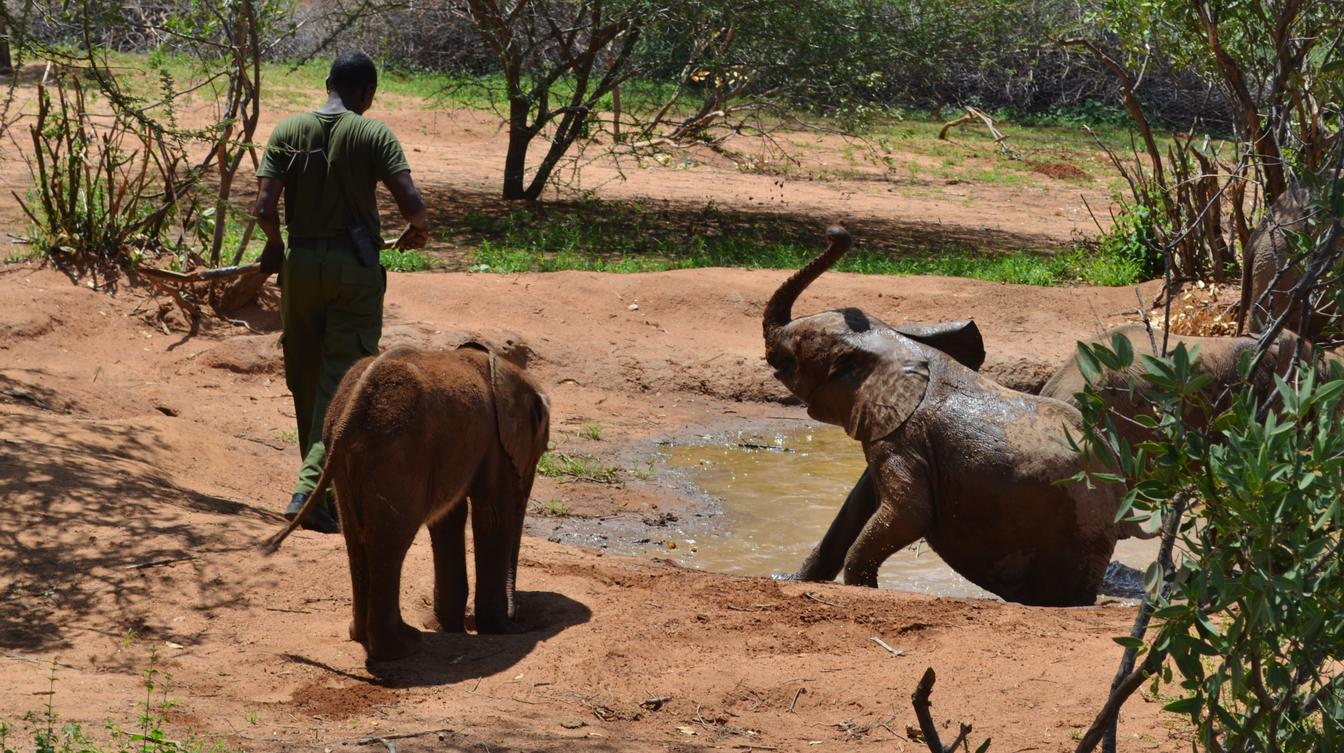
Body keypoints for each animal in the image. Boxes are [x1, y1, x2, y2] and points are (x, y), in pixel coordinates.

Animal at [263, 343, 551, 661]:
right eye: (540, 452)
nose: (517, 616)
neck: (502, 366)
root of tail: (353, 409)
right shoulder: (495, 445)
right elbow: (493, 517)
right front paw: (503, 631)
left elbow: (449, 518)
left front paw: (453, 627)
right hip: (398, 448)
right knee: (389, 543)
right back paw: (403, 646)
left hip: (345, 454)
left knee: (356, 539)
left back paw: (362, 635)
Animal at [764, 226, 1126, 606]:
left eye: (796, 347)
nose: (837, 233)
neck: (895, 345)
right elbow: (860, 504)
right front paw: (790, 578)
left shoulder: (903, 440)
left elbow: (909, 513)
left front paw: (864, 588)